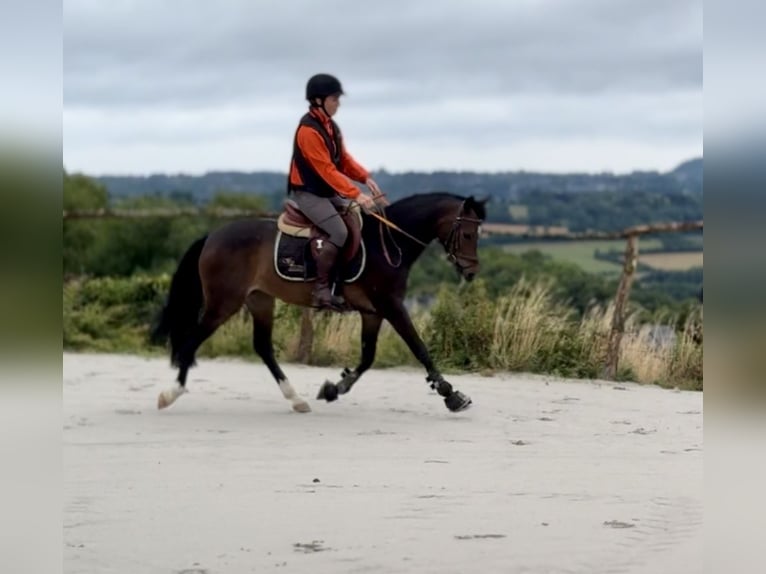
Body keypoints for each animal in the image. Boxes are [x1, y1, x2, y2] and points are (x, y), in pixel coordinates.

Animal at [150, 191, 486, 414]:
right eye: (469, 234)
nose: (471, 272)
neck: (389, 244)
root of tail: (212, 236)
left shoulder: (373, 312)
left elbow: (368, 357)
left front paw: (335, 388)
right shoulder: (391, 306)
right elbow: (419, 347)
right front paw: (451, 394)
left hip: (260, 300)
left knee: (262, 347)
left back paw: (296, 399)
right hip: (224, 303)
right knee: (192, 340)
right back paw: (170, 394)